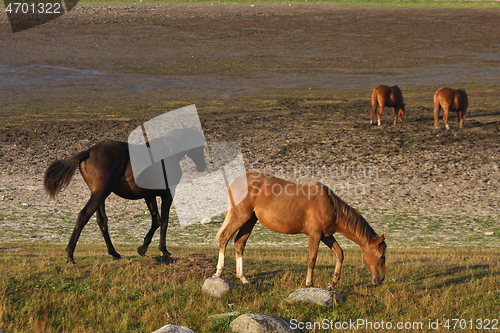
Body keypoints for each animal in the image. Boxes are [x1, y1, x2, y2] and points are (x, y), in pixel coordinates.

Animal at [44, 124, 206, 262]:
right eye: (201, 143)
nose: (203, 166)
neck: (167, 154)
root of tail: (89, 152)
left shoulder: (149, 195)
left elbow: (156, 220)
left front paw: (143, 247)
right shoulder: (167, 195)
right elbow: (164, 221)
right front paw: (164, 250)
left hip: (100, 195)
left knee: (102, 221)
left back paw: (114, 253)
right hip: (100, 194)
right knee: (83, 216)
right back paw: (70, 255)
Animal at [211, 171, 386, 286]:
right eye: (381, 256)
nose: (381, 279)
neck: (330, 205)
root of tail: (235, 181)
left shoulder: (326, 235)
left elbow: (339, 253)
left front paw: (333, 281)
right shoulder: (315, 235)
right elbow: (312, 259)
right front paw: (309, 283)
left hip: (249, 220)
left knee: (239, 243)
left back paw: (243, 278)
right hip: (240, 217)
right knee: (224, 238)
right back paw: (218, 272)